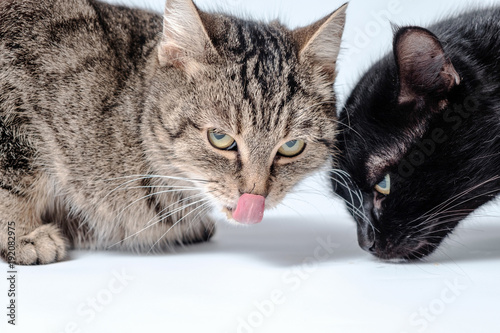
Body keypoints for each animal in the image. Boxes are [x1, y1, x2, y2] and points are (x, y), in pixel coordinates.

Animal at [0, 0, 346, 264]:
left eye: (292, 146)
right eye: (220, 138)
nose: (255, 195)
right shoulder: (14, 111)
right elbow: (13, 180)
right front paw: (23, 233)